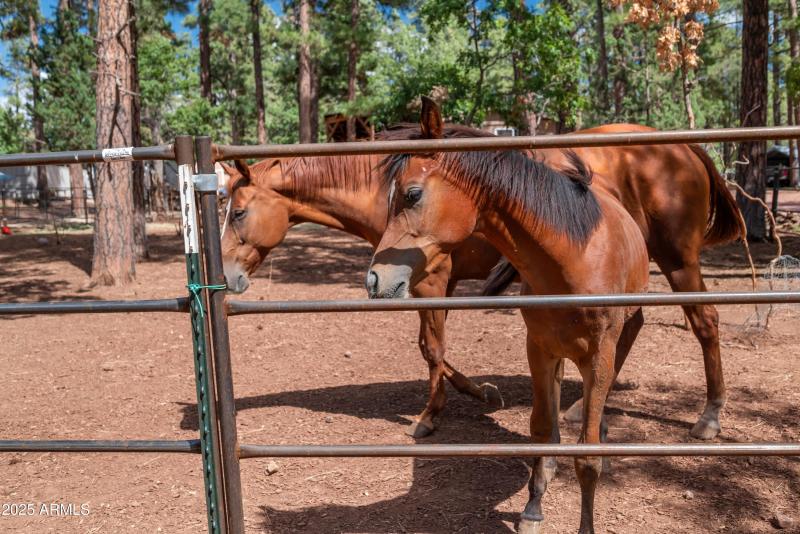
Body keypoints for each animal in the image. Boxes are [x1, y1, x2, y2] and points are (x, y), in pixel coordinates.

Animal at [219, 111, 742, 441]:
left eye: (238, 211)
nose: (226, 276)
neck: (378, 189)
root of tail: (686, 150)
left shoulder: (432, 280)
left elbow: (432, 348)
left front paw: (431, 416)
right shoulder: (423, 283)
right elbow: (431, 347)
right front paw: (474, 390)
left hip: (678, 260)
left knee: (706, 323)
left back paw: (710, 417)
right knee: (633, 326)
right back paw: (580, 408)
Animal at [366, 96, 650, 534]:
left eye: (412, 195)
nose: (375, 278)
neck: (574, 261)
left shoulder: (598, 356)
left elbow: (588, 456)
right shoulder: (539, 349)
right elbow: (541, 429)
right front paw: (533, 505)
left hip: (626, 327)